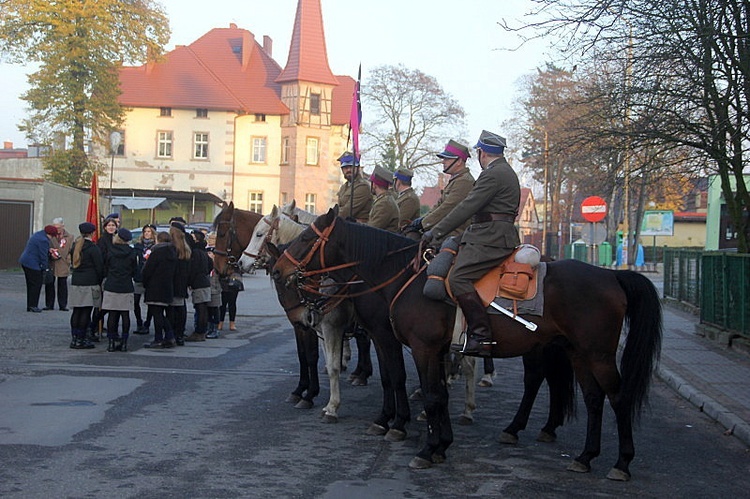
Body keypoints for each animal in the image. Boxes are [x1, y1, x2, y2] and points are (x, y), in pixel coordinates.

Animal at [274, 207, 660, 480]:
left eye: (306, 239)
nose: (277, 270)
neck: (402, 278)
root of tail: (611, 275)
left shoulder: (416, 346)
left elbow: (424, 392)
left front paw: (419, 444)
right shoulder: (426, 348)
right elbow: (436, 394)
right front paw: (439, 444)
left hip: (596, 354)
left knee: (615, 397)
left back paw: (621, 462)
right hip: (577, 352)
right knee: (593, 399)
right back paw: (583, 455)